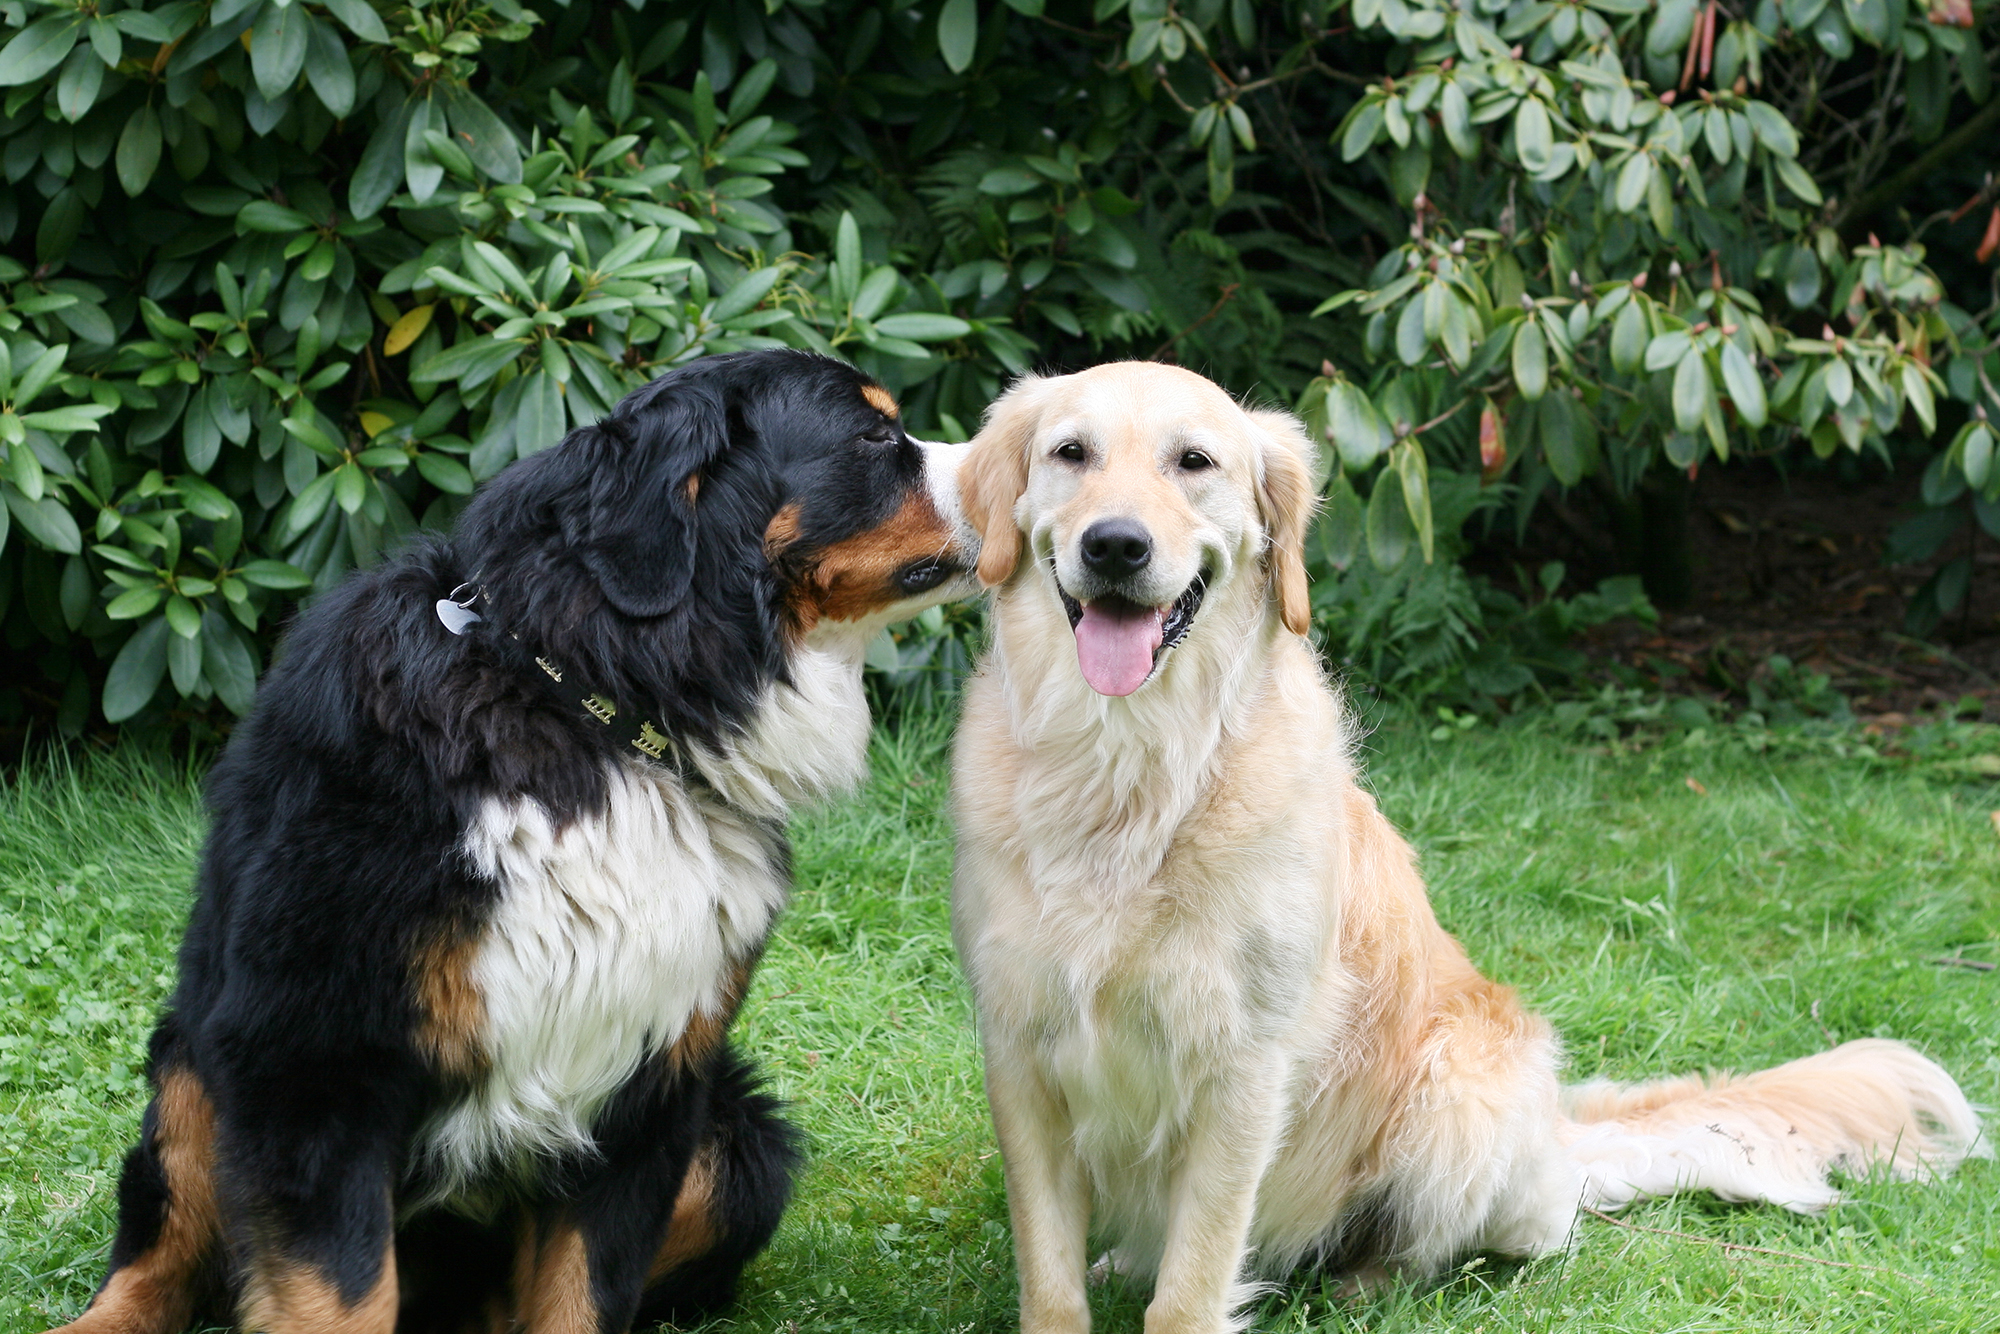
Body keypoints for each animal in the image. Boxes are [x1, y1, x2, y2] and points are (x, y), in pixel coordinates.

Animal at [43, 350, 980, 1328]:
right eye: (873, 437)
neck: (599, 710)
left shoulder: (645, 1086)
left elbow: (582, 1293)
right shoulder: (311, 1062)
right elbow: (341, 1292)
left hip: (735, 1150)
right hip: (193, 1065)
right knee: (158, 1252)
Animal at [952, 358, 1984, 1334]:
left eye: (1194, 462)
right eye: (1071, 453)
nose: (1114, 544)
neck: (1128, 769)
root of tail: (1560, 1138)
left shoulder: (1244, 1068)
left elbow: (1193, 1287)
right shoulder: (1019, 1053)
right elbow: (1049, 1280)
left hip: (1460, 1090)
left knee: (1497, 1244)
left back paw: (1365, 1283)